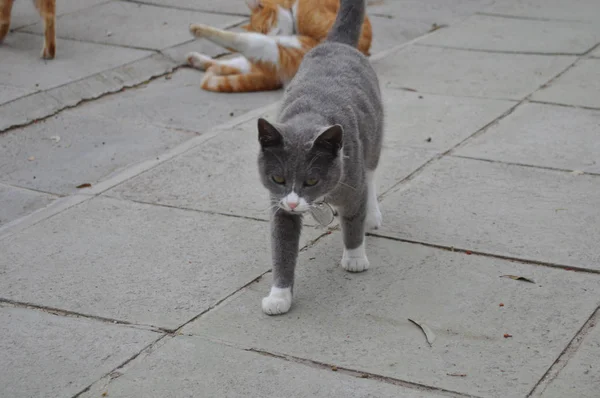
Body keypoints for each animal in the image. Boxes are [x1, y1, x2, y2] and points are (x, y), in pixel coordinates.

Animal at [186, 0, 370, 92]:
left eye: (263, 28)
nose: (270, 36)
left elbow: (241, 39)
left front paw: (199, 29)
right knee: (231, 62)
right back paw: (196, 59)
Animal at [255, 0, 382, 316]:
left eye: (311, 180)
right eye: (278, 178)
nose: (293, 202)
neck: (310, 116)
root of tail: (336, 44)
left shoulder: (352, 182)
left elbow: (353, 219)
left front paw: (355, 258)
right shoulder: (279, 205)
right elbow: (282, 246)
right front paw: (279, 296)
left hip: (374, 137)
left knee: (372, 174)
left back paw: (373, 215)